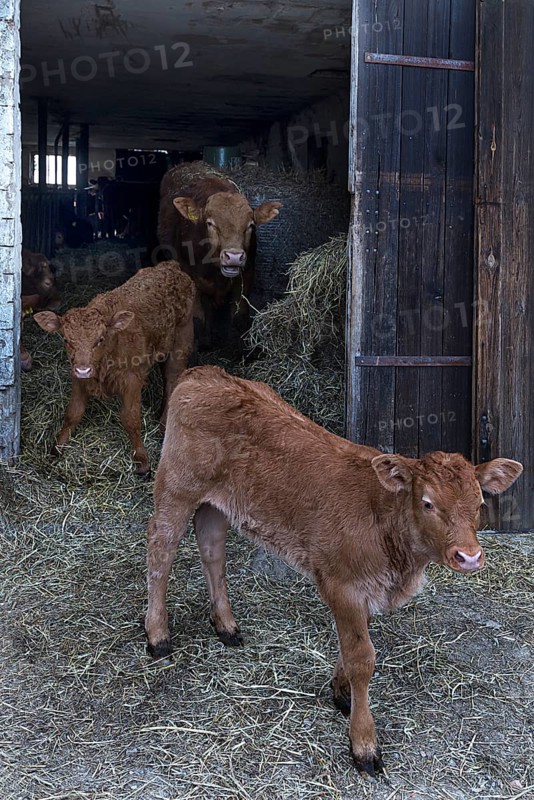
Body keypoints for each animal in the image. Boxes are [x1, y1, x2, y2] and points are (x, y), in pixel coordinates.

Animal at [34, 262, 196, 476]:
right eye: (67, 340)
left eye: (100, 339)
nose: (84, 369)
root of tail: (170, 266)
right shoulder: (78, 378)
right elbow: (73, 412)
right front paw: (57, 448)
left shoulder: (132, 380)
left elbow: (130, 419)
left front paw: (142, 461)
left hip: (181, 342)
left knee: (172, 378)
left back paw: (163, 425)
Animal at [144, 365, 523, 776]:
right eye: (427, 503)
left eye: (479, 502)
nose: (469, 556)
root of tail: (205, 373)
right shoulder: (342, 583)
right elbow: (362, 658)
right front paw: (364, 743)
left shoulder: (365, 588)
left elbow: (352, 645)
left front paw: (341, 693)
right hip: (177, 487)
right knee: (160, 551)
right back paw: (158, 635)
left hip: (217, 502)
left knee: (212, 550)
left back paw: (225, 625)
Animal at [157, 160, 282, 346]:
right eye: (210, 223)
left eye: (251, 225)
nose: (234, 257)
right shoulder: (190, 277)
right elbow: (197, 318)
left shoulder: (247, 273)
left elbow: (239, 318)